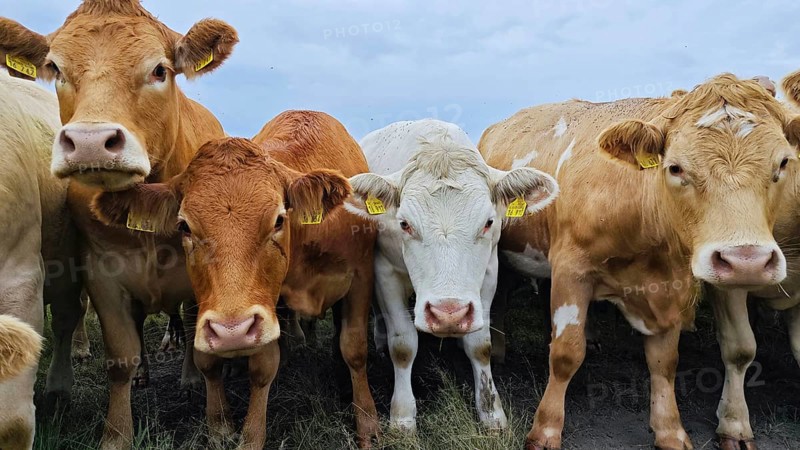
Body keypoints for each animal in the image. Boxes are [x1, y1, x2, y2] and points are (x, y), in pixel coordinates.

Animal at [0, 1, 238, 447]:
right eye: (56, 69)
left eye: (160, 70)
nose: (90, 143)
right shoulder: (103, 274)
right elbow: (120, 357)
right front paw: (116, 433)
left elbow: (207, 350)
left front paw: (218, 425)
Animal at [92, 111, 380, 449]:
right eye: (184, 226)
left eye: (278, 220)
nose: (231, 331)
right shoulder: (266, 305)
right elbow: (263, 365)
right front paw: (250, 436)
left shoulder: (361, 277)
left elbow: (355, 349)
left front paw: (368, 426)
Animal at [346, 119, 558, 432]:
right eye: (404, 224)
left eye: (488, 222)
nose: (449, 314)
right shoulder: (384, 270)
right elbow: (403, 345)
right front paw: (402, 416)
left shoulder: (490, 272)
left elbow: (480, 344)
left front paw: (491, 413)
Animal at [479, 73, 800, 450]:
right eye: (675, 167)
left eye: (783, 163)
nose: (745, 261)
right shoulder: (572, 271)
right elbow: (565, 353)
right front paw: (545, 430)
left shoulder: (673, 284)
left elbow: (664, 360)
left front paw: (670, 430)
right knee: (500, 298)